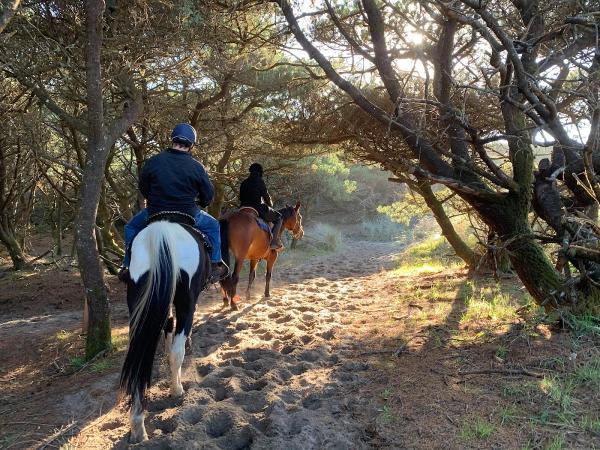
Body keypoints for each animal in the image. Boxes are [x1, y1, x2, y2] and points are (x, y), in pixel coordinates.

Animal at [118, 217, 210, 442]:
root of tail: (161, 233)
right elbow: (175, 346)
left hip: (139, 305)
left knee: (139, 355)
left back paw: (138, 426)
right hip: (186, 303)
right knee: (177, 351)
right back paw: (177, 390)